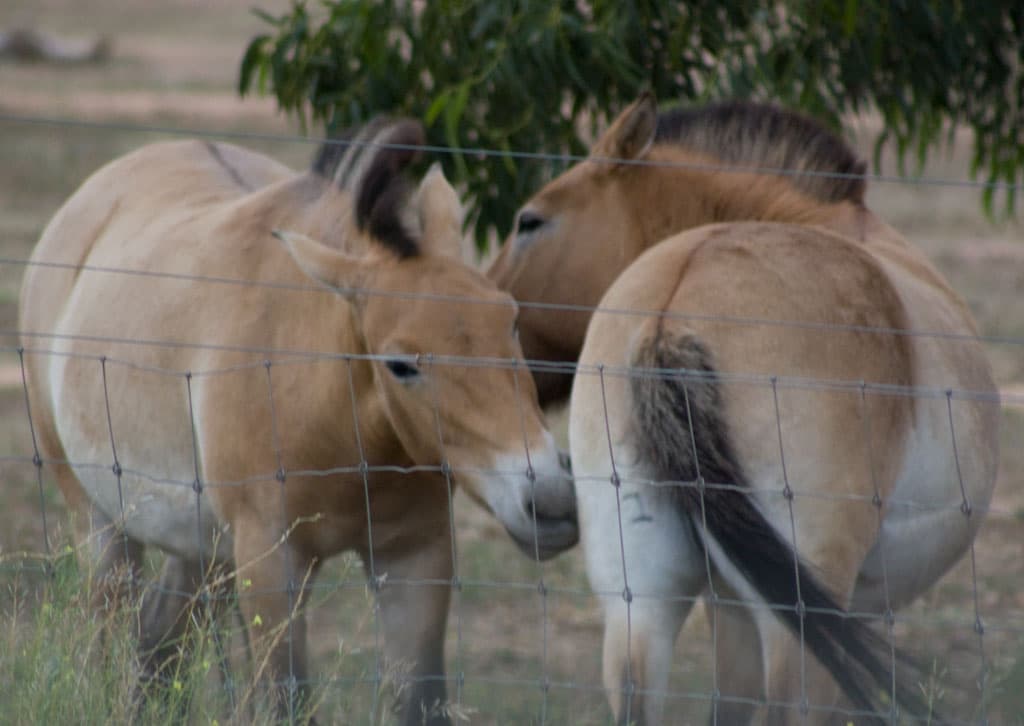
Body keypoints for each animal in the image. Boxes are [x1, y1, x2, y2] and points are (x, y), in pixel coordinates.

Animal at [19, 119, 578, 725]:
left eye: (511, 321)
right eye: (400, 364)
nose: (550, 500)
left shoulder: (416, 556)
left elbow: (418, 702)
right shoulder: (272, 565)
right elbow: (285, 700)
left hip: (202, 548)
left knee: (158, 643)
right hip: (104, 527)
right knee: (109, 642)